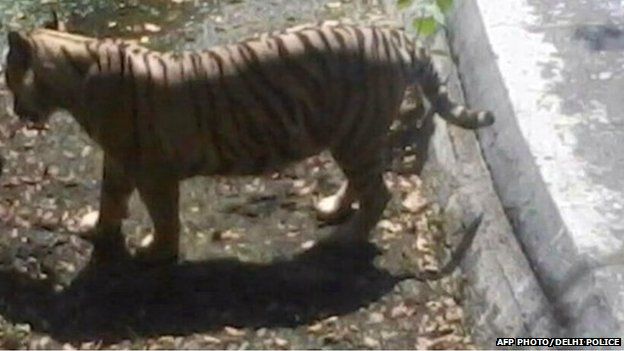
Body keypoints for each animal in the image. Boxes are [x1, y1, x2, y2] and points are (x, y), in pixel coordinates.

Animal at [3, 15, 492, 264]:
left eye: (8, 78)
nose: (14, 110)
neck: (77, 69)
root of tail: (395, 37)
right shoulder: (120, 160)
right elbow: (110, 198)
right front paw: (99, 229)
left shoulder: (153, 171)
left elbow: (163, 216)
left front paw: (156, 251)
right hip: (350, 136)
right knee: (363, 183)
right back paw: (333, 209)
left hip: (356, 134)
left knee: (379, 192)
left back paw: (344, 238)